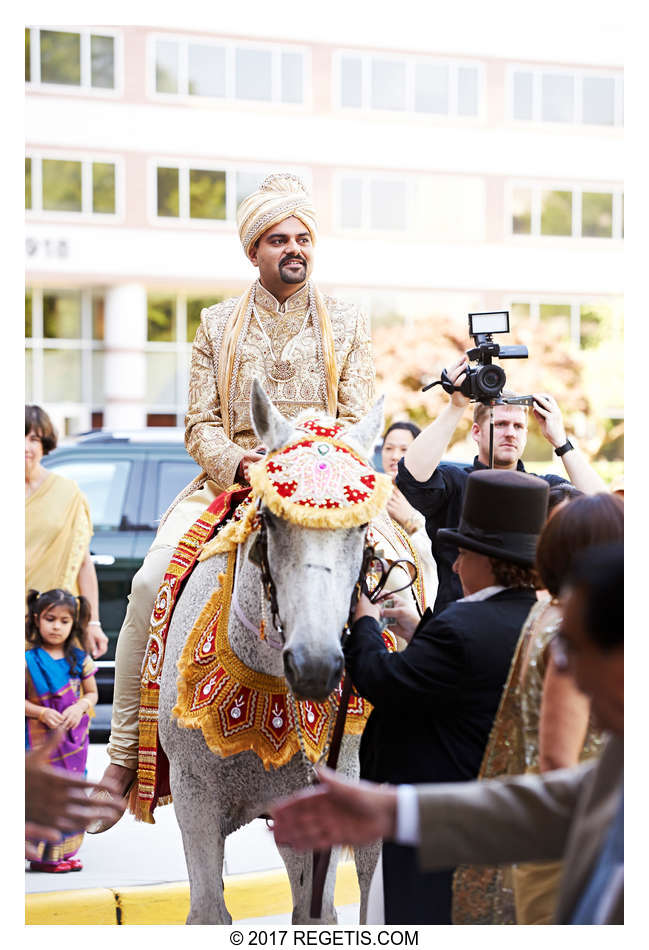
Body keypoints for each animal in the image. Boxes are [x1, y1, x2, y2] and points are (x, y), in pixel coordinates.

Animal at [157, 384, 390, 924]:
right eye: (269, 518)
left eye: (360, 525)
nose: (315, 666)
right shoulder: (194, 800)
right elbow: (208, 911)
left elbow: (317, 915)